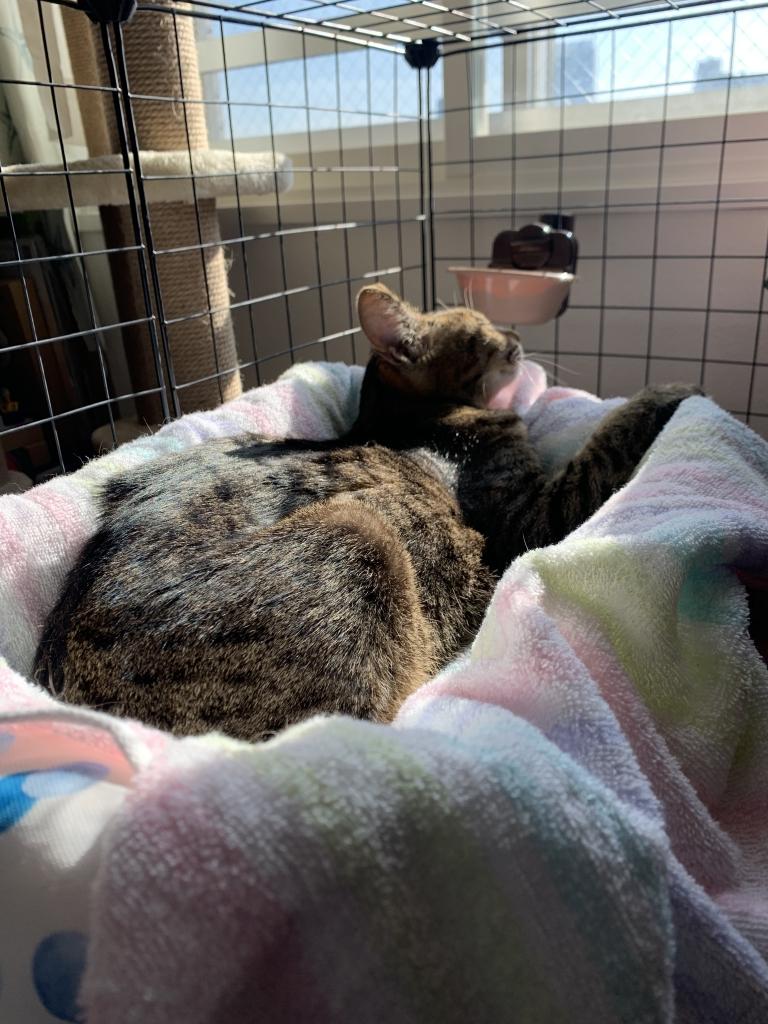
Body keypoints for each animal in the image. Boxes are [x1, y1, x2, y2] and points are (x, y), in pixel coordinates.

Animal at [33, 284, 700, 740]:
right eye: (479, 332)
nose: (514, 337)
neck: (405, 422)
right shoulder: (531, 520)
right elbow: (607, 439)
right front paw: (669, 391)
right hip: (360, 540)